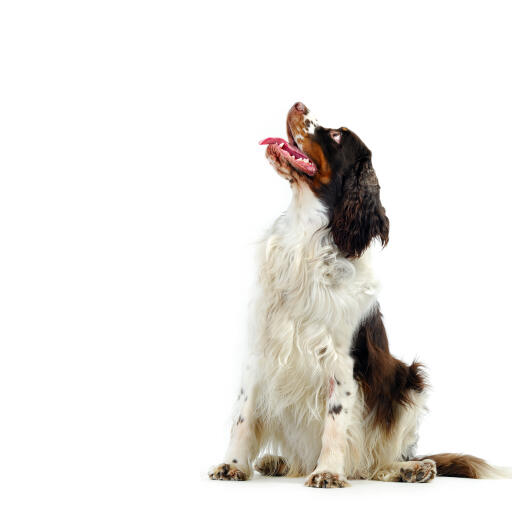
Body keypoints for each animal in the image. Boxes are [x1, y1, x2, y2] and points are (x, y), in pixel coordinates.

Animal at [207, 101, 508, 488]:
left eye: (336, 136)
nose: (298, 104)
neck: (305, 237)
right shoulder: (260, 350)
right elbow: (243, 417)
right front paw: (232, 464)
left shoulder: (342, 360)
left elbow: (336, 423)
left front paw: (328, 472)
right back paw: (277, 461)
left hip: (408, 381)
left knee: (376, 462)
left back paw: (411, 468)